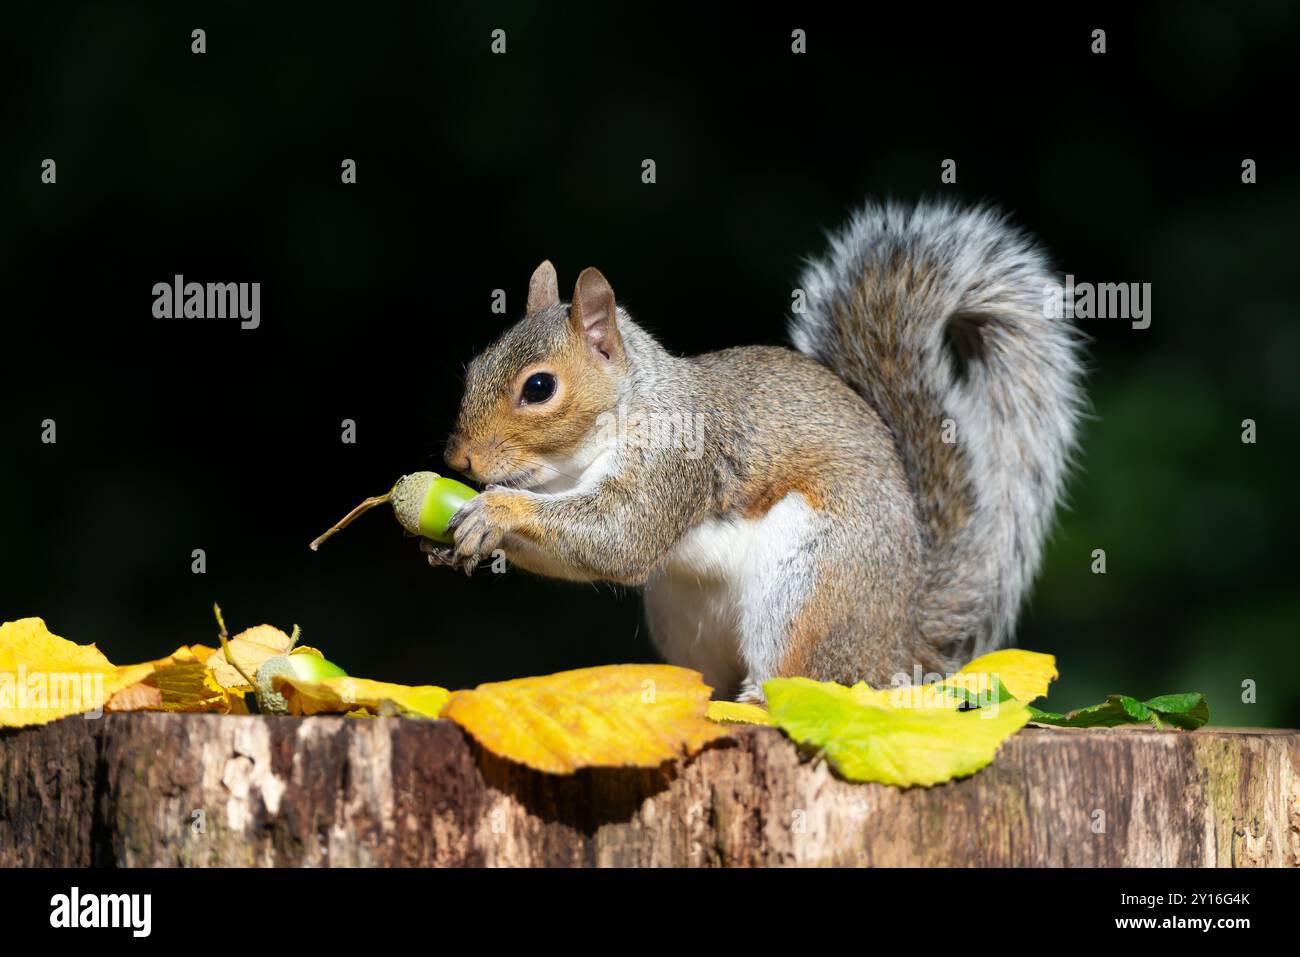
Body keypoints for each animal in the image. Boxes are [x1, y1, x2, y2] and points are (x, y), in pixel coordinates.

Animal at [428, 197, 1086, 696]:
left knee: (803, 679)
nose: (458, 461)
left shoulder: (676, 460)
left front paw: (497, 510)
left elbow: (623, 537)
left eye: (539, 387)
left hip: (810, 584)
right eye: (476, 365)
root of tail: (898, 643)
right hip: (685, 617)